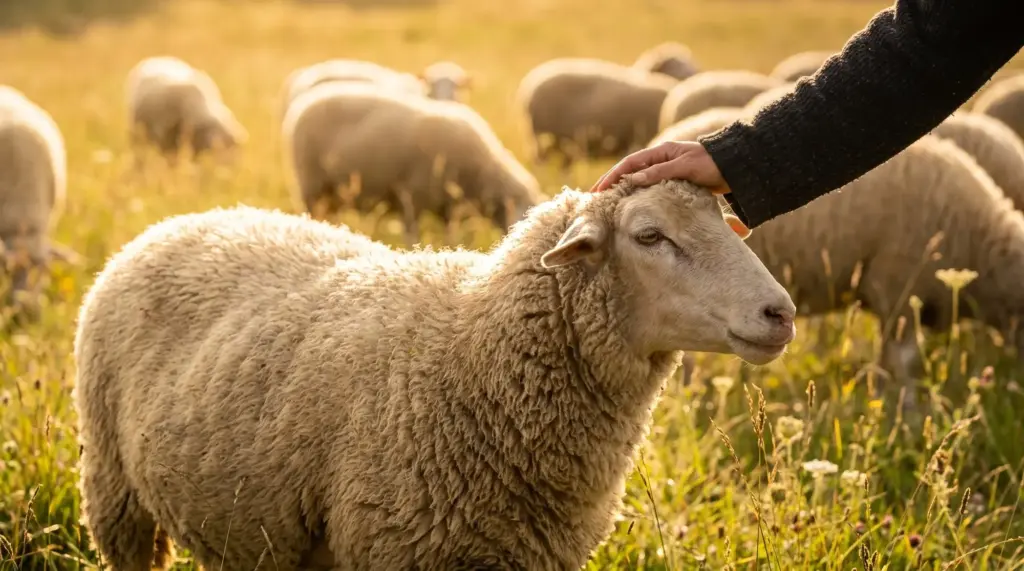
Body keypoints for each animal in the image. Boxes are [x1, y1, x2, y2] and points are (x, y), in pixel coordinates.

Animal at [282, 81, 546, 246]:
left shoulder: (448, 205)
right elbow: (412, 233)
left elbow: (449, 233)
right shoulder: (412, 195)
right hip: (310, 183)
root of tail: (303, 103)